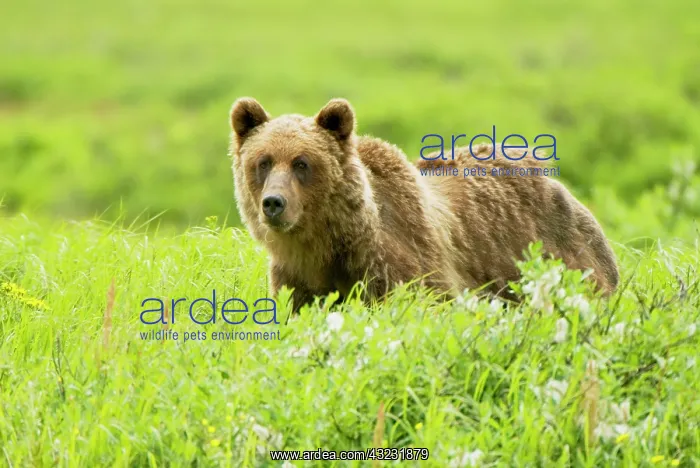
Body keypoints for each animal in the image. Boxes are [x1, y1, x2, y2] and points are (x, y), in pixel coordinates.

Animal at [229, 97, 619, 312]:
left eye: (302, 163)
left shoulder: (400, 262)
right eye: (263, 162)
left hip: (564, 258)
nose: (274, 203)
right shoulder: (296, 279)